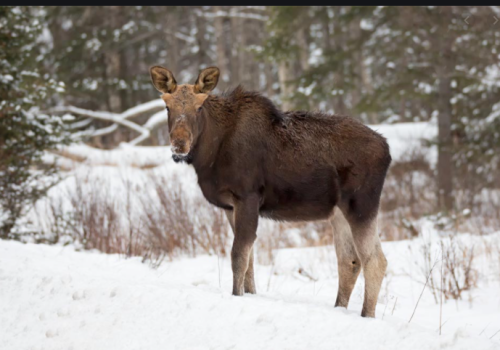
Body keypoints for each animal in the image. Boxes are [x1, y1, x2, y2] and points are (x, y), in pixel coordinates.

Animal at [148, 65, 390, 318]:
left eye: (199, 106)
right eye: (167, 106)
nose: (179, 144)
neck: (210, 155)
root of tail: (387, 149)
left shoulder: (247, 196)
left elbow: (238, 256)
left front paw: (237, 295)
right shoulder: (229, 206)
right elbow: (249, 260)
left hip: (361, 204)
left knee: (375, 260)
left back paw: (367, 315)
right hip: (338, 212)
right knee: (349, 260)